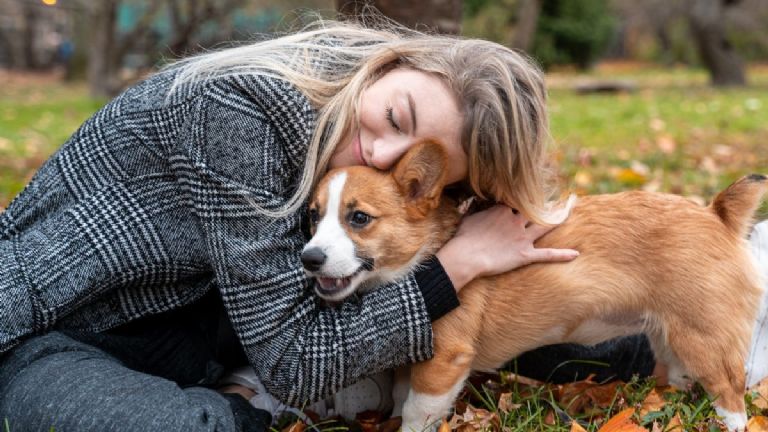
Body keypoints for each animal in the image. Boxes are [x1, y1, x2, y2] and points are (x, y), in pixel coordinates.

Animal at [302, 140, 768, 430]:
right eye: (313, 216)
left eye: (359, 218)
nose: (308, 259)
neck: (425, 254)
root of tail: (715, 213)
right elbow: (401, 401)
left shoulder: (443, 364)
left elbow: (416, 414)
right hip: (670, 340)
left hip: (704, 339)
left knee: (731, 396)